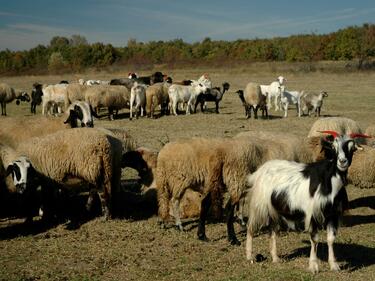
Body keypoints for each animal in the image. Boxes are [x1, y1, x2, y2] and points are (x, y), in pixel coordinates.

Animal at [247, 130, 368, 272]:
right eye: (334, 147)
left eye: (352, 148)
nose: (342, 162)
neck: (329, 181)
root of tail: (260, 170)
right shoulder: (312, 213)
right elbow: (314, 239)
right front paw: (313, 266)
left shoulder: (332, 214)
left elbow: (331, 239)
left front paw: (334, 265)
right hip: (259, 205)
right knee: (251, 227)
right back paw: (250, 257)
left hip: (274, 210)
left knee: (272, 231)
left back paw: (276, 258)